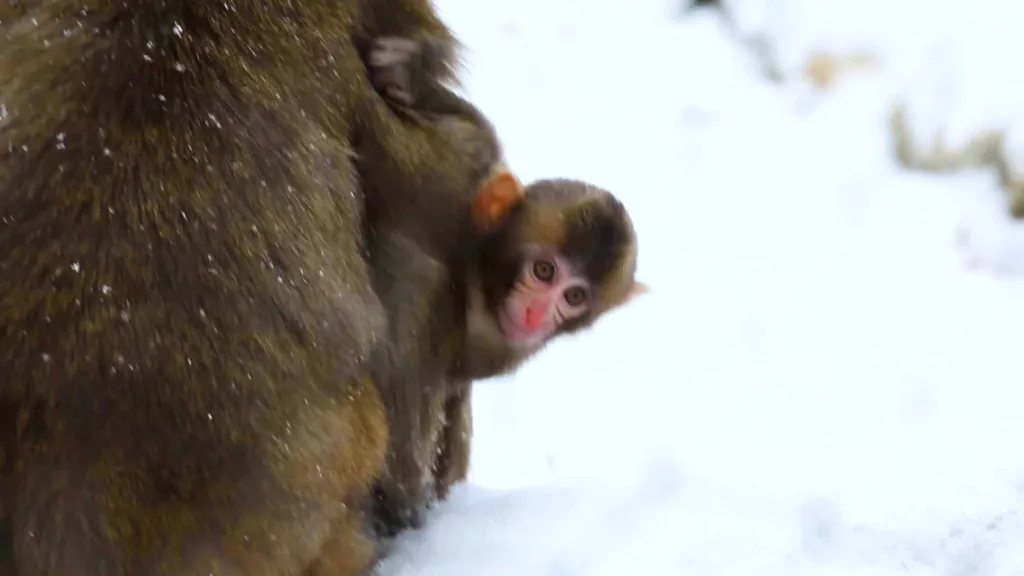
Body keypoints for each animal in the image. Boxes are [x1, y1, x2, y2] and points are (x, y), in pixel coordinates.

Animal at [362, 36, 646, 537]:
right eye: (544, 271)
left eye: (574, 297)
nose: (535, 315)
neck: (474, 266)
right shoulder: (453, 185)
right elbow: (478, 143)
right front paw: (410, 76)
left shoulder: (504, 341)